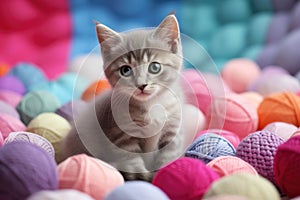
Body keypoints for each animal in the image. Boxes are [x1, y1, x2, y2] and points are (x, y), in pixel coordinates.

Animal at [59, 14, 188, 181]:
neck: (151, 105)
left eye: (155, 67)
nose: (141, 85)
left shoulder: (172, 128)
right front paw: (144, 180)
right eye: (125, 70)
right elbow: (133, 163)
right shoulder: (121, 137)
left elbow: (169, 156)